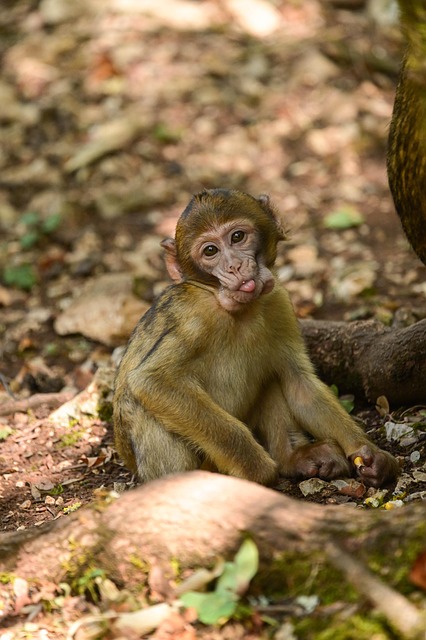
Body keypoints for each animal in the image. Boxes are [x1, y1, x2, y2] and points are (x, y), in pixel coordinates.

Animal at [113, 188, 399, 488]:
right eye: (210, 251)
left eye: (237, 237)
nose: (235, 266)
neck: (234, 307)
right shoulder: (193, 314)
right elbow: (152, 381)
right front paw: (256, 468)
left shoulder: (278, 301)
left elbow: (298, 382)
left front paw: (370, 453)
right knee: (138, 403)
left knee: (272, 375)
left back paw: (293, 458)